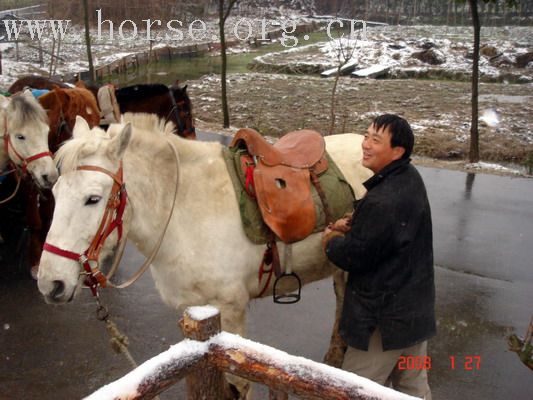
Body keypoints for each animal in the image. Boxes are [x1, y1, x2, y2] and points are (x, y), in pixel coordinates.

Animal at [38, 113, 370, 394]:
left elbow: (237, 384)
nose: (50, 284)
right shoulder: (195, 311)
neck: (187, 210)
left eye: (93, 199)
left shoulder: (231, 310)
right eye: (54, 192)